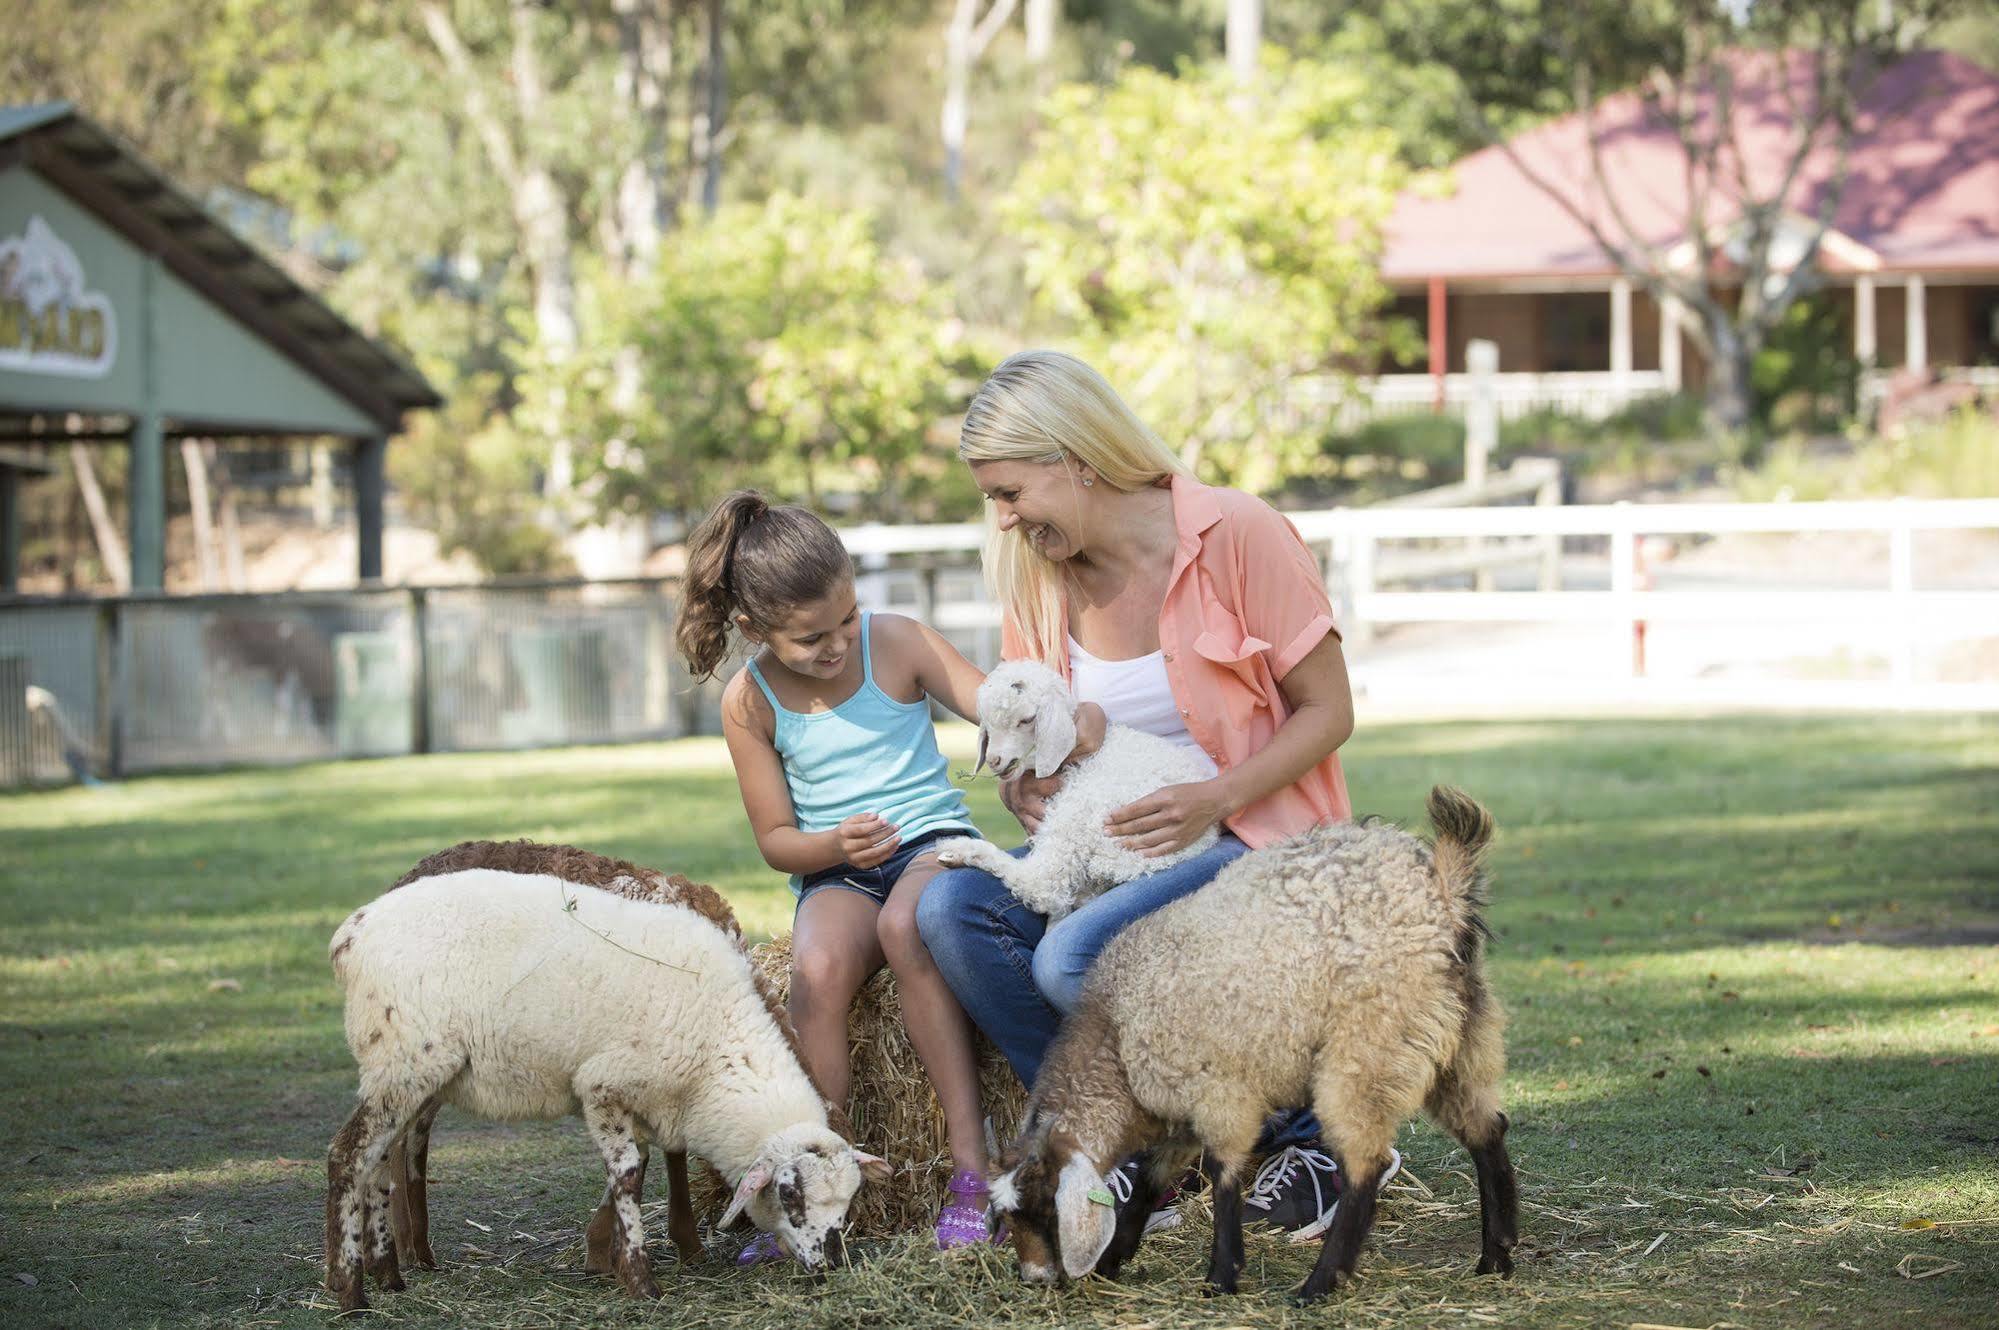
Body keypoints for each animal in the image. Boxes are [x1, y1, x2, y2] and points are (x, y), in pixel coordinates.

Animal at [323, 868, 887, 1312]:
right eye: (789, 1193)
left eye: (850, 1197)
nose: (831, 1262)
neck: (718, 1053)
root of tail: (352, 932)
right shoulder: (602, 1086)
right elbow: (629, 1177)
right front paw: (640, 1281)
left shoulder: (647, 1106)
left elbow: (631, 1175)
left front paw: (613, 1259)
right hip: (405, 1059)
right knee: (347, 1154)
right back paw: (351, 1292)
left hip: (406, 1073)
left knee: (377, 1164)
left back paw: (388, 1275)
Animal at [931, 660, 1215, 920]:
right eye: (986, 722)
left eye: (1027, 720)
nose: (994, 760)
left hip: (1085, 817)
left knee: (1042, 885)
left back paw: (957, 849)